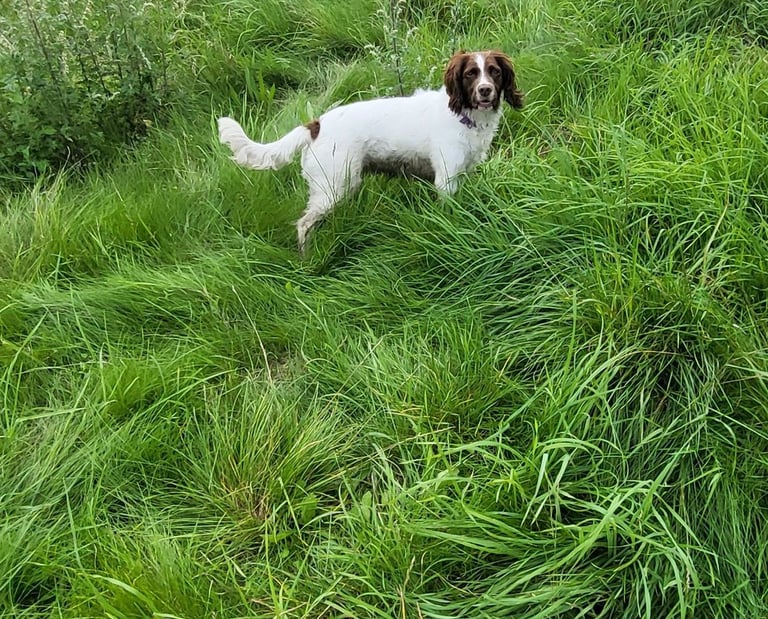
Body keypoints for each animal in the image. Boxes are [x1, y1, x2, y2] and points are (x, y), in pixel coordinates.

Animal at [218, 50, 523, 253]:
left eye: (494, 71)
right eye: (471, 73)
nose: (485, 91)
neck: (463, 115)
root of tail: (316, 125)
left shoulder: (465, 172)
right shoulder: (446, 179)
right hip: (334, 186)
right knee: (303, 224)